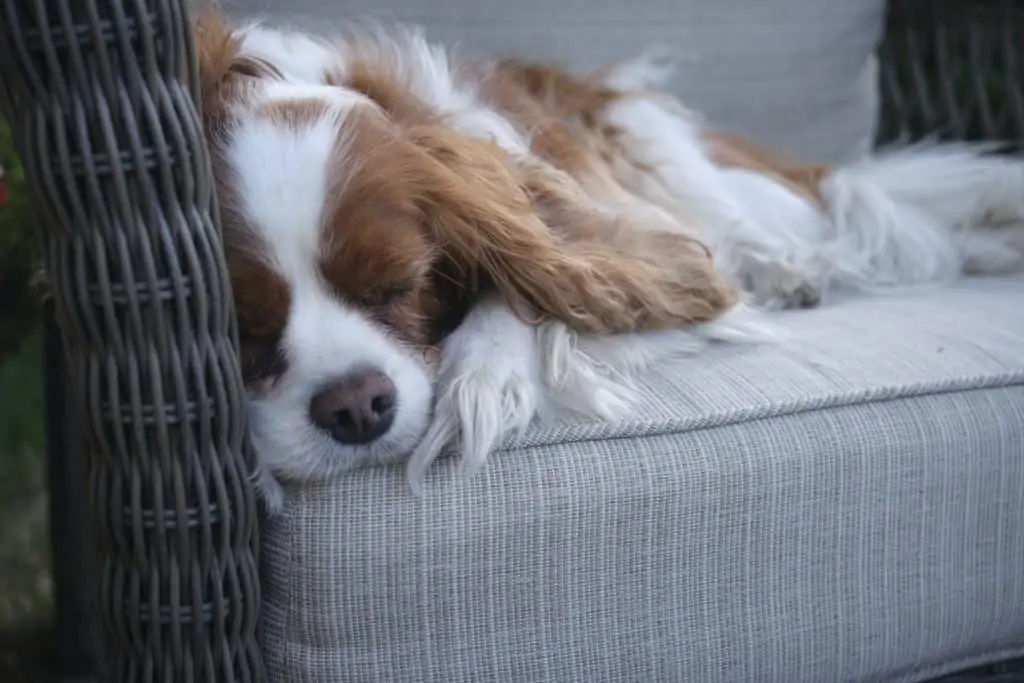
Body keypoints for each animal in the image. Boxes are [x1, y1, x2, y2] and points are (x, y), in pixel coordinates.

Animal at [192, 7, 1024, 509]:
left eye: (400, 287)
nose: (357, 406)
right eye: (246, 329)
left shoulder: (623, 232)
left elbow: (548, 279)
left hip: (672, 159)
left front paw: (482, 376)